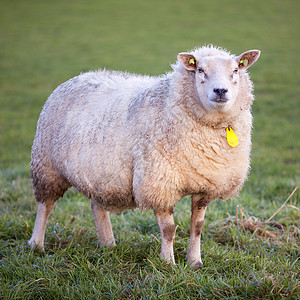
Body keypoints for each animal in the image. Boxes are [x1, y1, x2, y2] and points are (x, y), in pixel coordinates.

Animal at [29, 45, 260, 268]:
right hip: (46, 165)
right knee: (45, 206)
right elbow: (168, 229)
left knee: (97, 206)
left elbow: (197, 226)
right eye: (200, 70)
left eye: (236, 70)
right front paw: (168, 263)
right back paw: (36, 245)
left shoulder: (206, 187)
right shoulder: (159, 184)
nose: (220, 90)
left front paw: (195, 262)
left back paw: (109, 244)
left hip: (101, 173)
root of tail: (80, 76)